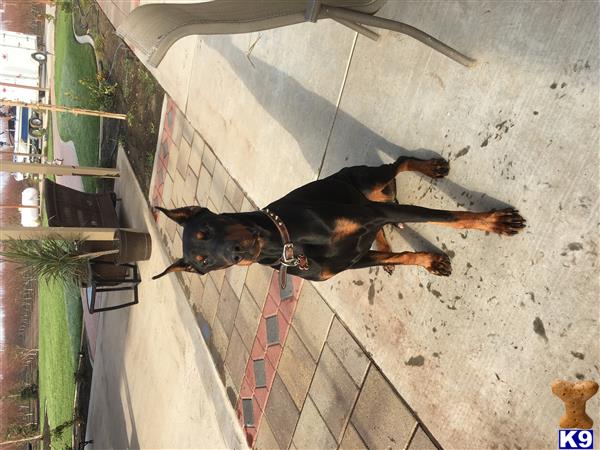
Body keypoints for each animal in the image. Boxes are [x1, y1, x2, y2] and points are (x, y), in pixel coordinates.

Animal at [154, 157, 524, 282]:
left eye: (207, 229)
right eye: (204, 264)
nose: (234, 253)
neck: (286, 241)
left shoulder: (375, 213)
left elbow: (451, 217)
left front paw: (495, 222)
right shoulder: (351, 261)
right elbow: (403, 255)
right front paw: (431, 261)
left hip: (368, 183)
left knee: (398, 163)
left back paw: (430, 167)